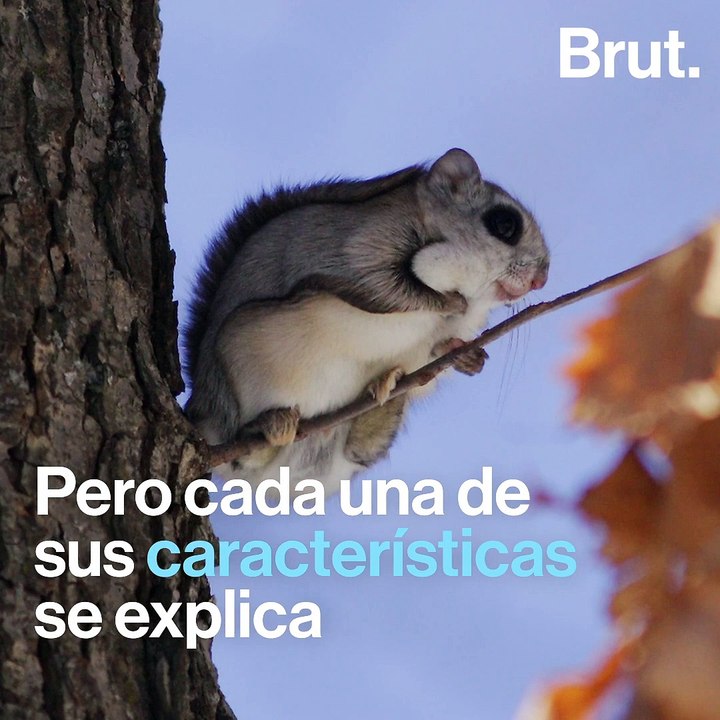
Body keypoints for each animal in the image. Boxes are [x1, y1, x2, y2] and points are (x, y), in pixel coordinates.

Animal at [184, 148, 549, 493]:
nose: (541, 280)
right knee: (244, 451)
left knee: (359, 447)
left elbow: (439, 347)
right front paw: (448, 301)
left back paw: (386, 390)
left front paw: (466, 355)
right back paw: (270, 425)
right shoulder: (364, 244)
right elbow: (384, 286)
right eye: (504, 223)